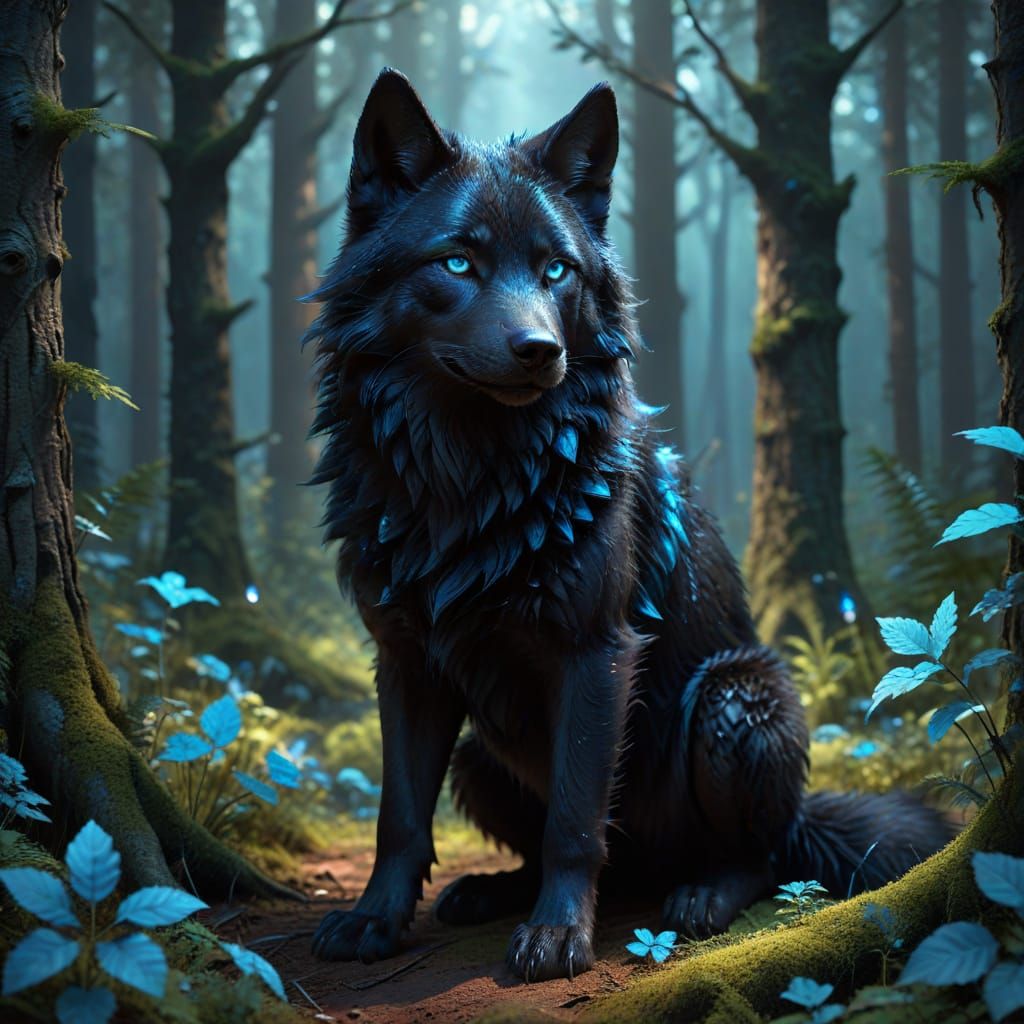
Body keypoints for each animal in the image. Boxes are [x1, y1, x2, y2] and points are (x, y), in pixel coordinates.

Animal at [306, 69, 950, 982]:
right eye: (457, 261)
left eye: (557, 270)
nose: (539, 349)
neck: (468, 481)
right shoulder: (404, 661)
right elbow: (398, 815)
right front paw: (374, 921)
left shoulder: (596, 653)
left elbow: (577, 819)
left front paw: (556, 937)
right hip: (478, 751)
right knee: (570, 851)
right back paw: (493, 891)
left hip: (732, 699)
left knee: (760, 858)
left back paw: (700, 897)